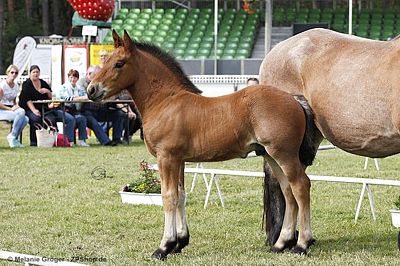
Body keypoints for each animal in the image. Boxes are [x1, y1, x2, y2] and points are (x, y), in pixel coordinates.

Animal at [87, 30, 318, 258]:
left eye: (119, 63)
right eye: (105, 59)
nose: (91, 89)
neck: (164, 101)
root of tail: (294, 99)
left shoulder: (166, 158)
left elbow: (168, 197)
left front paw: (164, 247)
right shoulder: (179, 160)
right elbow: (180, 195)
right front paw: (180, 242)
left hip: (284, 154)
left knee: (300, 186)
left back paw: (301, 244)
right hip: (272, 155)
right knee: (288, 190)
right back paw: (281, 243)